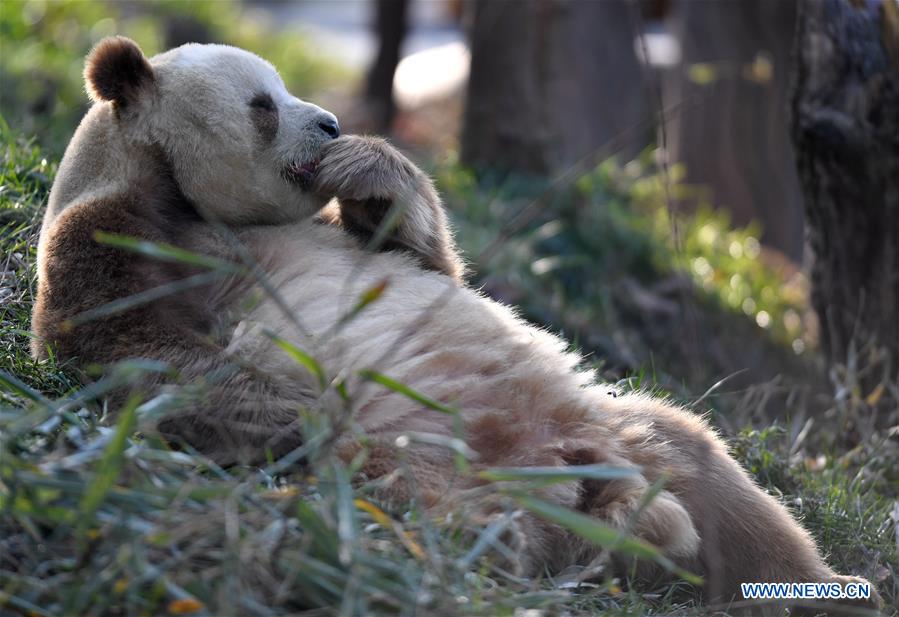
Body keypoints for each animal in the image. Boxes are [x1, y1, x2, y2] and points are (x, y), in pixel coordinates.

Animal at [31, 37, 878, 613]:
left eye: (288, 89)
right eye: (263, 104)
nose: (330, 124)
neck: (185, 194)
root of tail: (588, 487)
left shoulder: (346, 234)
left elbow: (428, 259)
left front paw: (366, 166)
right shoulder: (115, 235)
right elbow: (140, 350)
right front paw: (286, 400)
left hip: (619, 425)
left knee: (716, 477)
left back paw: (830, 586)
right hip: (423, 469)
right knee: (430, 504)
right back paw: (531, 534)